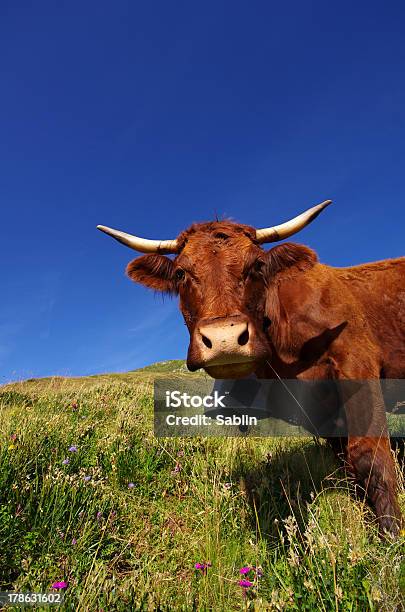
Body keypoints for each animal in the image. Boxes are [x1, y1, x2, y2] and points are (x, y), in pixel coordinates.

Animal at [96, 202, 402, 536]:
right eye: (180, 272)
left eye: (256, 265)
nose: (224, 339)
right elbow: (348, 465)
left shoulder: (357, 364)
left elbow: (370, 456)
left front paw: (390, 536)